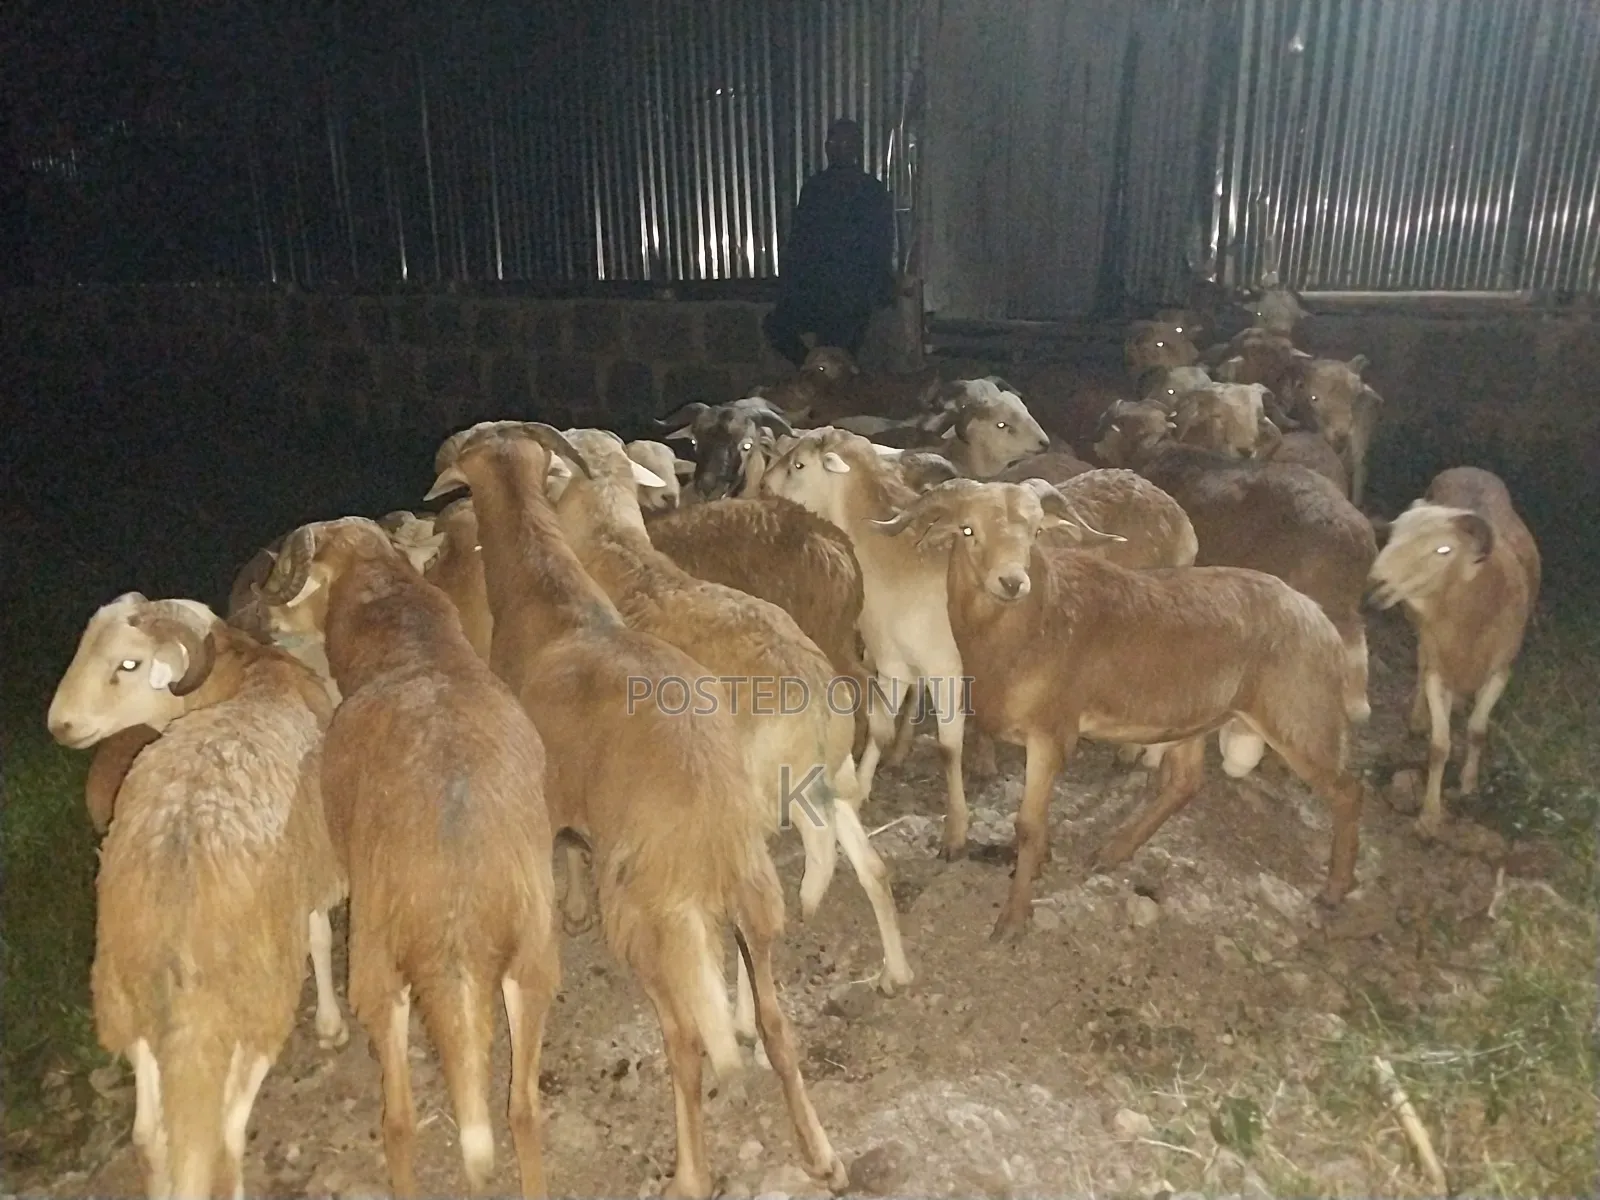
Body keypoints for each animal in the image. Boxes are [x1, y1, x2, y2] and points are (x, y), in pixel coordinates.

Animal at [46, 595, 348, 1197]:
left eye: (129, 664)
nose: (59, 725)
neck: (248, 676)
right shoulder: (313, 867)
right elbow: (321, 938)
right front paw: (331, 1026)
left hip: (127, 994)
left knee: (149, 1135)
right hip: (250, 997)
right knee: (224, 1135)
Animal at [251, 516, 559, 1198]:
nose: (268, 623)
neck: (413, 652)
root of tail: (457, 926)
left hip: (377, 971)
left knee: (399, 1125)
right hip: (532, 962)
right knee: (522, 1110)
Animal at [426, 421, 850, 1198]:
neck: (556, 597)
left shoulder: (546, 797)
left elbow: (562, 850)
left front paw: (568, 909)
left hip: (646, 923)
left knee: (683, 1040)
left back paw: (690, 1172)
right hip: (757, 892)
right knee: (776, 1018)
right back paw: (819, 1150)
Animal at [872, 479, 1366, 939]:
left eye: (1036, 532)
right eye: (968, 530)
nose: (1013, 582)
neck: (1032, 627)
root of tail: (1320, 620)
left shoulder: (1050, 735)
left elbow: (1028, 825)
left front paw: (1012, 920)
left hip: (1298, 716)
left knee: (1347, 791)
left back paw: (1334, 890)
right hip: (1197, 718)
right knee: (1185, 782)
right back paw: (1112, 851)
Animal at [1368, 467, 1540, 837]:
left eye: (1443, 550)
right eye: (1394, 536)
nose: (1373, 587)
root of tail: (1473, 469)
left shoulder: (1500, 672)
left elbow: (1477, 732)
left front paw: (1469, 786)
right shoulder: (1438, 670)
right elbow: (1439, 746)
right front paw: (1430, 815)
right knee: (1420, 662)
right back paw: (1418, 718)